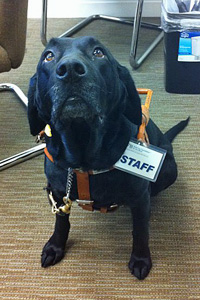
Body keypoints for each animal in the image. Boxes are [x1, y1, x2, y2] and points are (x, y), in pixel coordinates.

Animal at [27, 36, 188, 280]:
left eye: (98, 52)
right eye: (48, 56)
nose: (70, 69)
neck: (85, 156)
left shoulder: (140, 199)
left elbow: (140, 231)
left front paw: (140, 259)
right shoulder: (57, 192)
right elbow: (61, 222)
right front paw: (55, 247)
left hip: (169, 169)